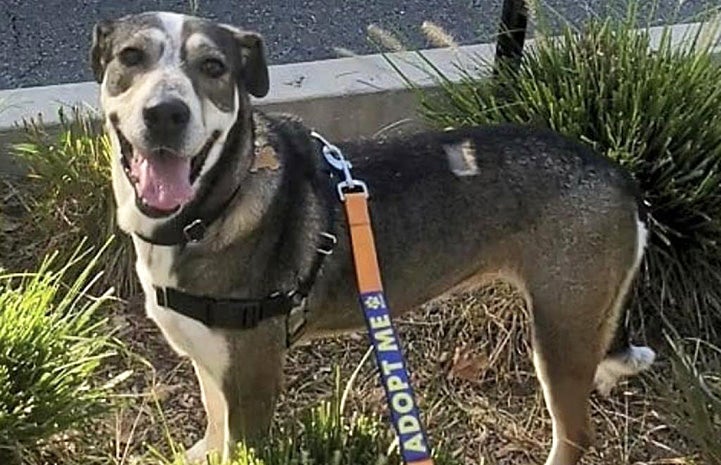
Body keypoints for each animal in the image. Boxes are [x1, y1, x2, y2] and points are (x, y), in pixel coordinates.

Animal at [88, 10, 652, 464]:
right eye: (131, 57)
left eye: (213, 68)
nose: (166, 113)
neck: (214, 207)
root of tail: (618, 174)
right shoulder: (211, 360)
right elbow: (213, 416)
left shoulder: (253, 380)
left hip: (559, 330)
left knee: (575, 435)